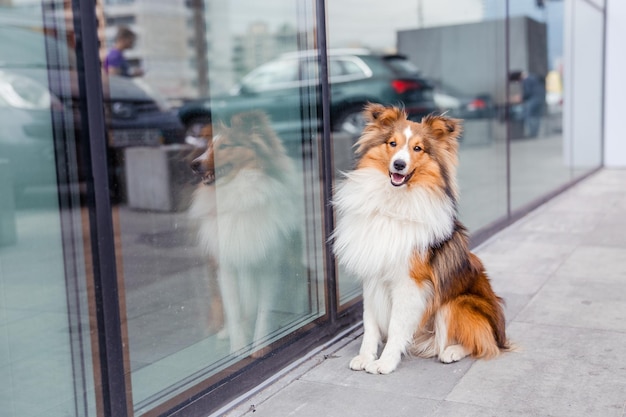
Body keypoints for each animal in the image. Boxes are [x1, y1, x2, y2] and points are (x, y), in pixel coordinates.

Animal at [189, 110, 306, 354]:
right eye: (207, 147)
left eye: (225, 146)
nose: (194, 165)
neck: (240, 196)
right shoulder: (226, 267)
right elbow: (233, 311)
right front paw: (238, 349)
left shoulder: (270, 266)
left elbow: (264, 311)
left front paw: (259, 348)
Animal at [332, 103, 508, 374]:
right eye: (392, 143)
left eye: (418, 148)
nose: (399, 165)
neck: (394, 204)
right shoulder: (372, 276)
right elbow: (369, 322)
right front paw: (365, 356)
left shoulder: (409, 283)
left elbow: (396, 326)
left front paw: (385, 362)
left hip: (457, 303)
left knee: (482, 342)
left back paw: (451, 351)